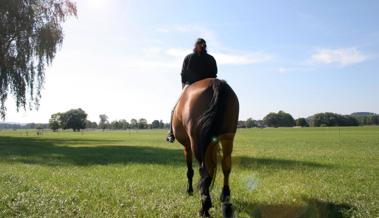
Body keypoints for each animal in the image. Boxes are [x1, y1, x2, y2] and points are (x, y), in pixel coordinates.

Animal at [173, 78, 240, 216]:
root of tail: (217, 82)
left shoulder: (187, 146)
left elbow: (189, 170)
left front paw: (189, 190)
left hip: (197, 142)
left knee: (205, 169)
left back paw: (205, 206)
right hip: (227, 137)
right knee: (226, 166)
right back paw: (225, 199)